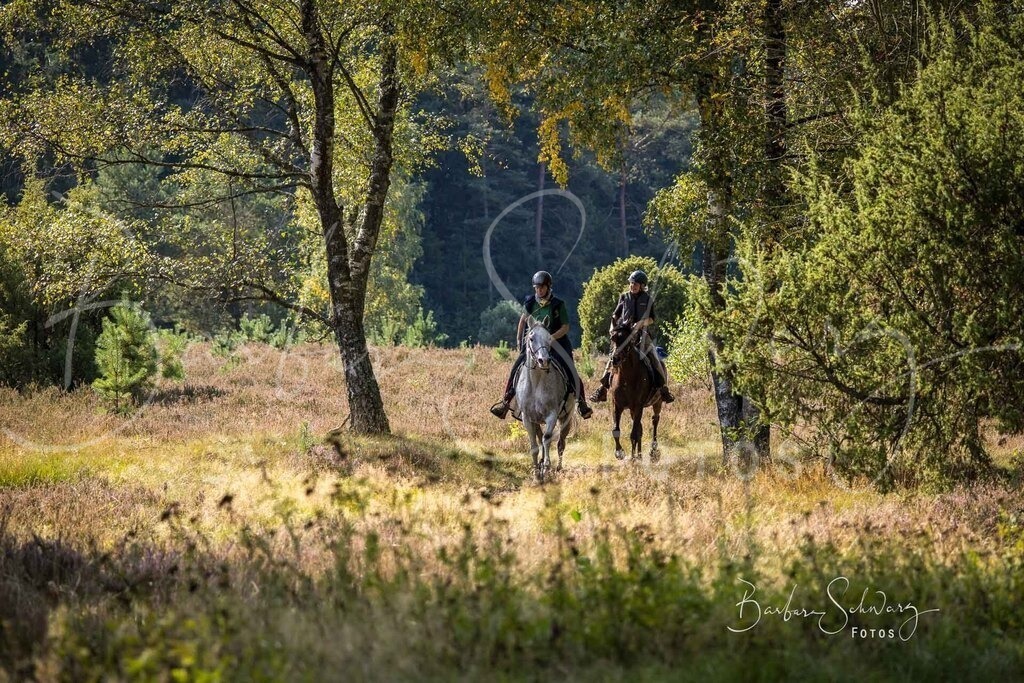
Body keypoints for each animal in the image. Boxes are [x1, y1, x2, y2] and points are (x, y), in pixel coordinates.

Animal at [513, 319, 575, 482]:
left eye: (549, 338)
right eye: (531, 338)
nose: (544, 360)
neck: (536, 383)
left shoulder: (551, 415)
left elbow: (547, 439)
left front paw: (547, 467)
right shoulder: (528, 418)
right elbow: (534, 445)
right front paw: (536, 473)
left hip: (566, 417)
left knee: (560, 443)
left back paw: (558, 468)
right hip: (537, 421)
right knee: (540, 439)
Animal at [607, 322, 663, 462]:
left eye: (627, 340)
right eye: (612, 338)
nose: (615, 359)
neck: (627, 377)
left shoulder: (638, 406)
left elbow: (633, 434)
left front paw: (632, 459)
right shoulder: (617, 405)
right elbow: (616, 430)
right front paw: (620, 452)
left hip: (657, 402)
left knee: (655, 420)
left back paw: (653, 452)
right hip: (632, 410)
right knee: (640, 429)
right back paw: (640, 456)